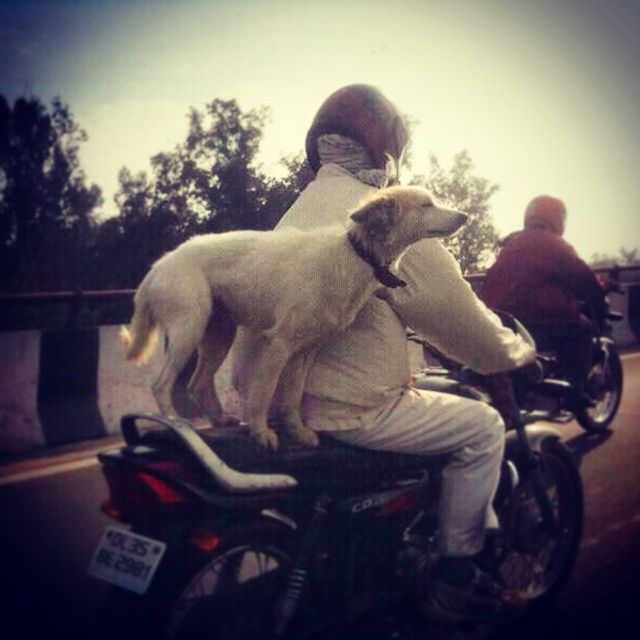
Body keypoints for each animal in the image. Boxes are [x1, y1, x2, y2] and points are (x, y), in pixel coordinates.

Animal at [120, 185, 464, 450]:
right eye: (426, 205)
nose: (466, 216)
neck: (356, 255)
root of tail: (159, 266)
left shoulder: (305, 351)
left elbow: (292, 398)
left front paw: (296, 431)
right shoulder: (279, 343)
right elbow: (264, 393)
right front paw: (261, 432)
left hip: (219, 335)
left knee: (196, 383)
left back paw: (216, 418)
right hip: (188, 330)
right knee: (160, 384)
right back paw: (174, 422)